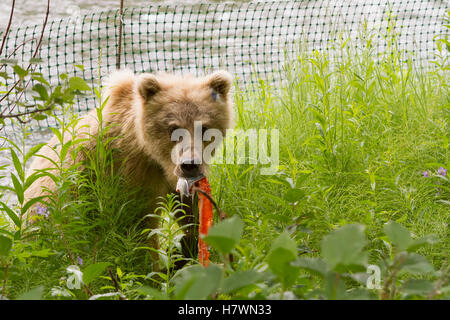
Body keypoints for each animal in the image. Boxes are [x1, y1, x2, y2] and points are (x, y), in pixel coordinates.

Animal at [24, 69, 234, 264]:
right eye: (173, 128)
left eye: (204, 128)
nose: (190, 164)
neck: (152, 155)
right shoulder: (128, 174)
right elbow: (139, 226)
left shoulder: (170, 179)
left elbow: (187, 212)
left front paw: (184, 250)